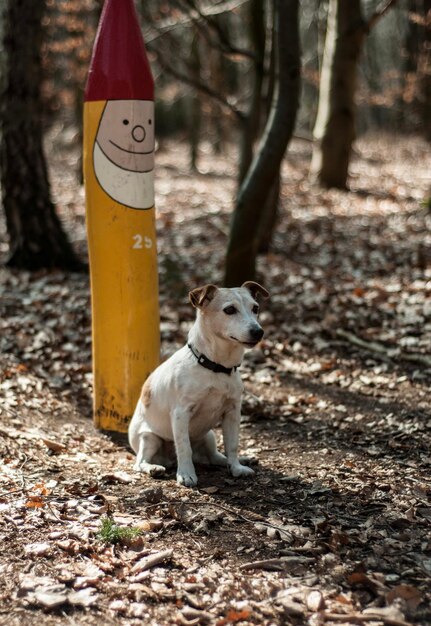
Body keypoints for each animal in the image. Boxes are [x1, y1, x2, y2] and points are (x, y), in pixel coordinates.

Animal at [128, 280, 270, 488]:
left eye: (256, 308)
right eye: (229, 310)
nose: (258, 332)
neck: (216, 367)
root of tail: (169, 460)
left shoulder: (233, 412)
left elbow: (232, 445)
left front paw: (237, 468)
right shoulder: (181, 413)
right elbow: (184, 447)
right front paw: (186, 474)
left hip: (208, 436)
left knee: (216, 457)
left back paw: (240, 460)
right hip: (149, 438)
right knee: (140, 462)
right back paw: (154, 468)